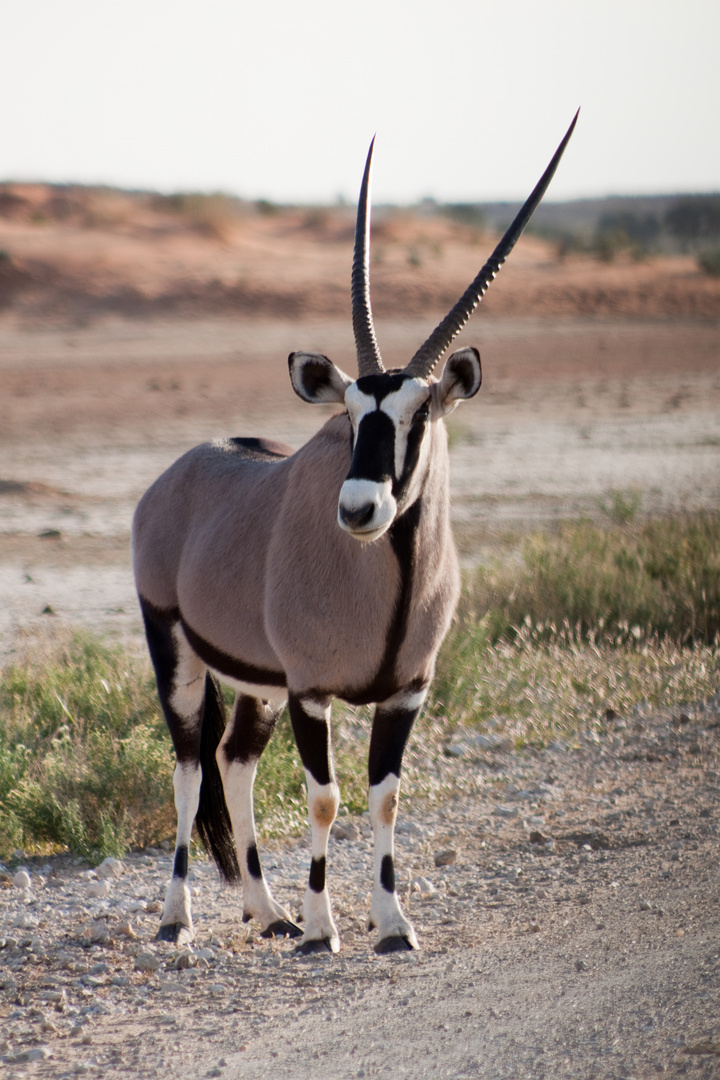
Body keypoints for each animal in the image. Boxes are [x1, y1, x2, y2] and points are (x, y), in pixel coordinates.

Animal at [131, 111, 578, 954]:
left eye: (419, 414)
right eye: (348, 413)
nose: (360, 510)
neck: (387, 582)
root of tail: (178, 473)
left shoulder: (404, 693)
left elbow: (384, 798)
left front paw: (393, 923)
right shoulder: (314, 693)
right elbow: (325, 799)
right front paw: (322, 929)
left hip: (258, 684)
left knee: (234, 762)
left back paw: (265, 910)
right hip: (175, 648)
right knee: (188, 766)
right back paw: (180, 918)